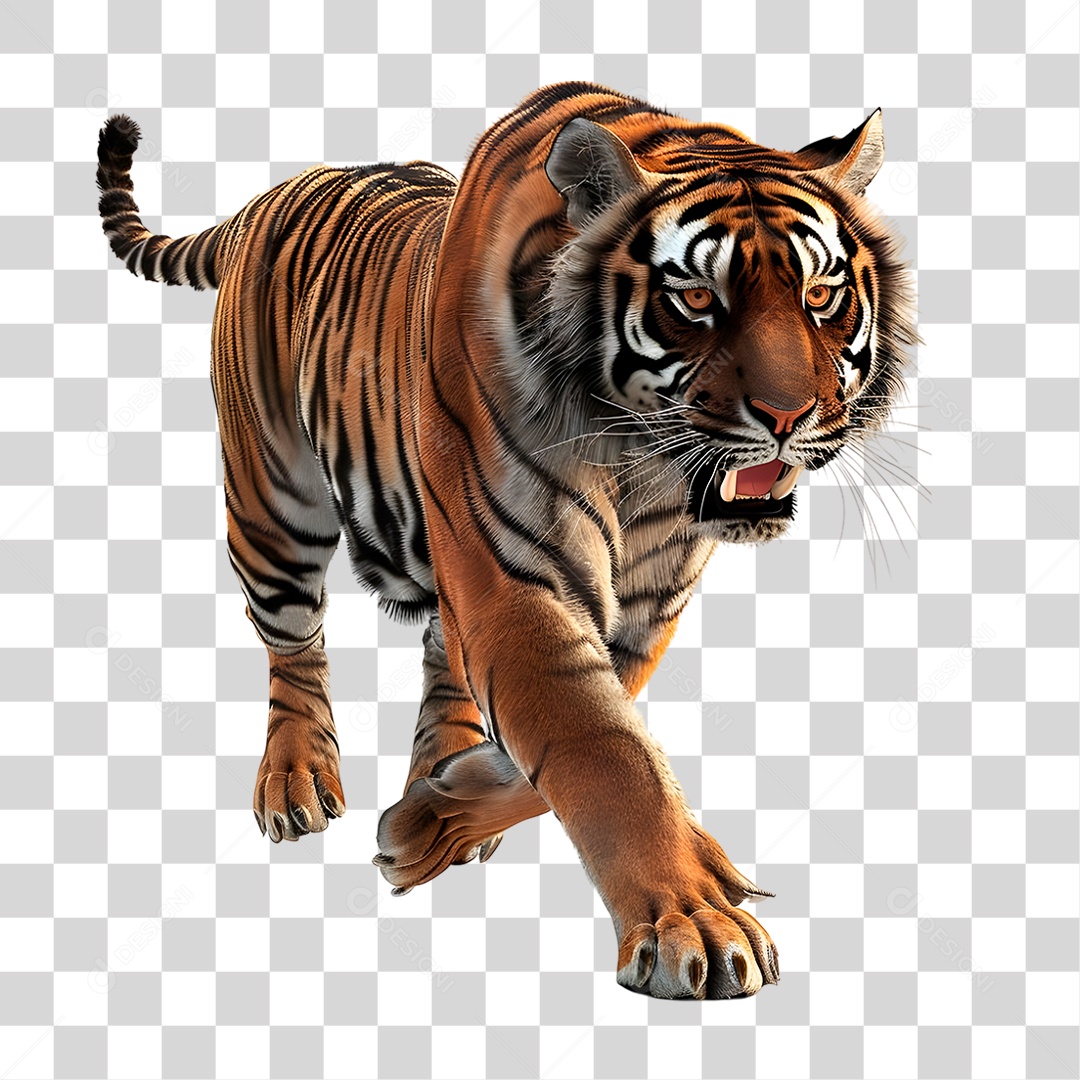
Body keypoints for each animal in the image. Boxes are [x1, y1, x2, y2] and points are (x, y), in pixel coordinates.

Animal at [96, 82, 916, 1000]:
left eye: (821, 296)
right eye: (698, 300)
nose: (787, 416)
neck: (646, 469)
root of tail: (272, 194)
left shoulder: (642, 610)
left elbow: (578, 743)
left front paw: (432, 815)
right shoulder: (515, 580)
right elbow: (607, 755)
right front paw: (691, 926)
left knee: (439, 665)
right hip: (275, 502)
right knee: (293, 647)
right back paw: (296, 780)